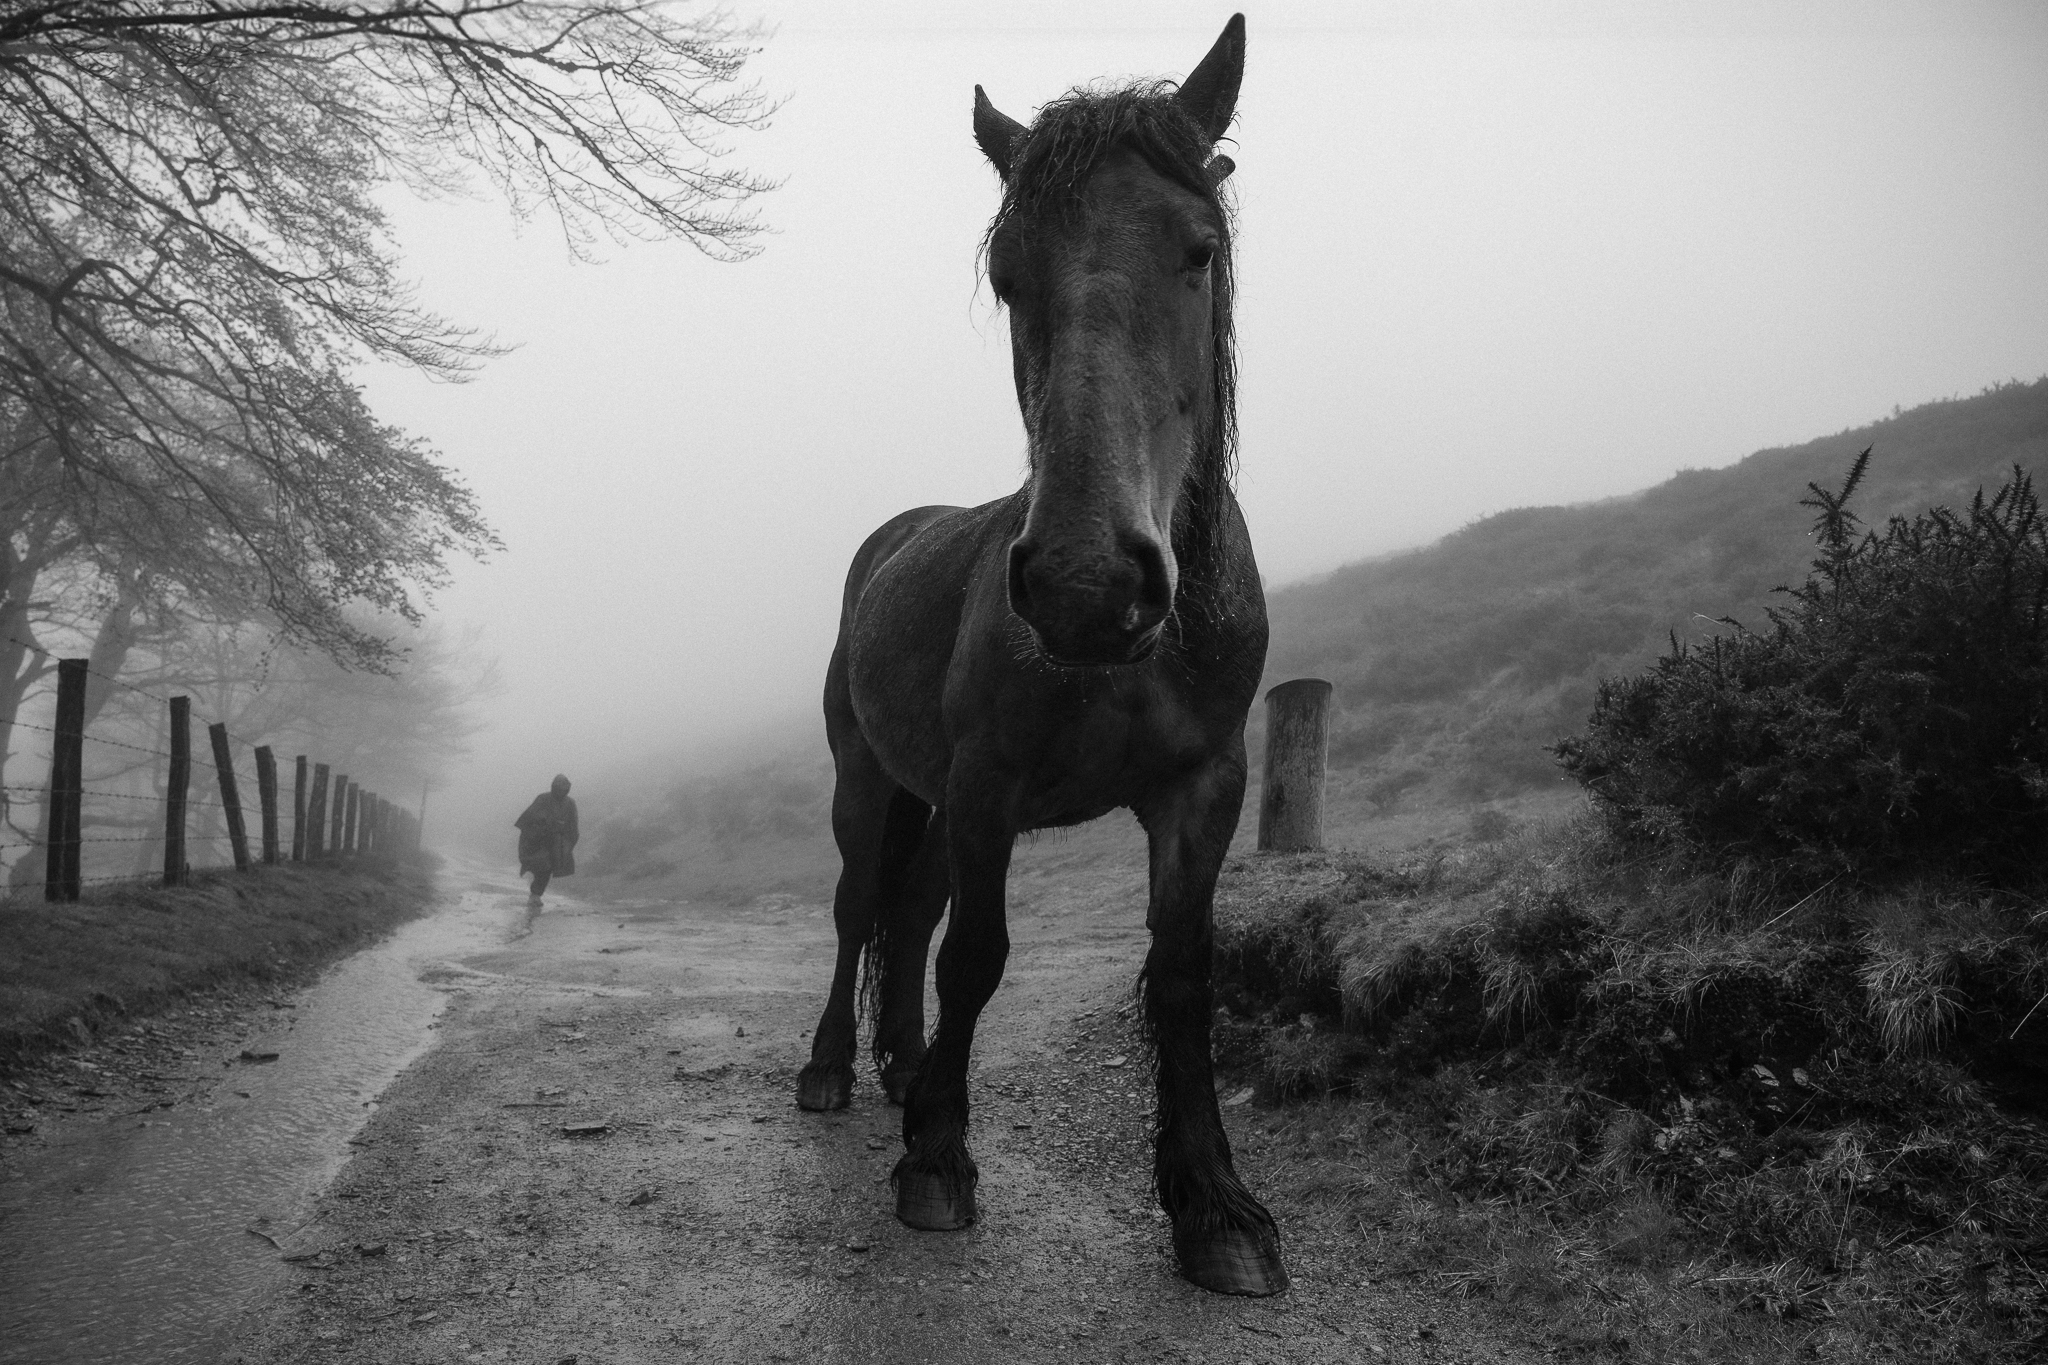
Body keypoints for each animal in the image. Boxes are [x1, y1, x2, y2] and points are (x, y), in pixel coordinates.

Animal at [795, 14, 1286, 1297]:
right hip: (869, 784)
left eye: (1198, 251)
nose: (1084, 584)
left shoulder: (1202, 790)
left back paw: (905, 1070)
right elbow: (976, 954)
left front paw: (1215, 1208)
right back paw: (832, 1071)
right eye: (1009, 272)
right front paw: (936, 1164)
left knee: (907, 912)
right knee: (861, 909)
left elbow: (1182, 977)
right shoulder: (986, 787)